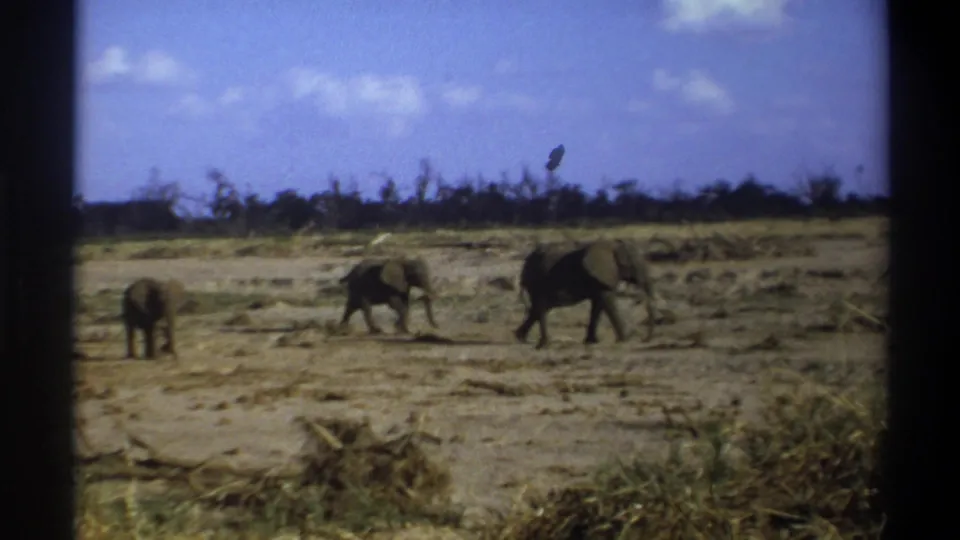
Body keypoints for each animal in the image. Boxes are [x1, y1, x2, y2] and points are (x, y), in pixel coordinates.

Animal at [514, 239, 657, 349]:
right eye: (632, 265)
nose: (644, 340)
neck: (612, 245)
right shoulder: (601, 277)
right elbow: (608, 302)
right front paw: (624, 339)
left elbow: (597, 305)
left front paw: (592, 342)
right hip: (539, 282)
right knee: (541, 308)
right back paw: (544, 344)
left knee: (537, 309)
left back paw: (521, 338)